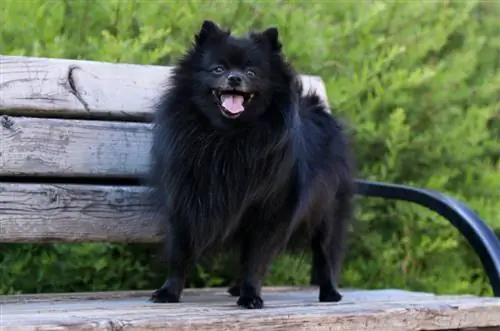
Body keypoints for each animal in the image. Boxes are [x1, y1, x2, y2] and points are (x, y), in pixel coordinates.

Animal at [148, 20, 356, 310]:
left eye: (251, 71)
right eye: (218, 68)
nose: (235, 78)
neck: (228, 137)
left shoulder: (268, 212)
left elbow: (256, 259)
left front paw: (250, 295)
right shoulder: (183, 204)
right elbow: (179, 254)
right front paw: (169, 291)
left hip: (326, 214)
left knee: (324, 254)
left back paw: (329, 292)